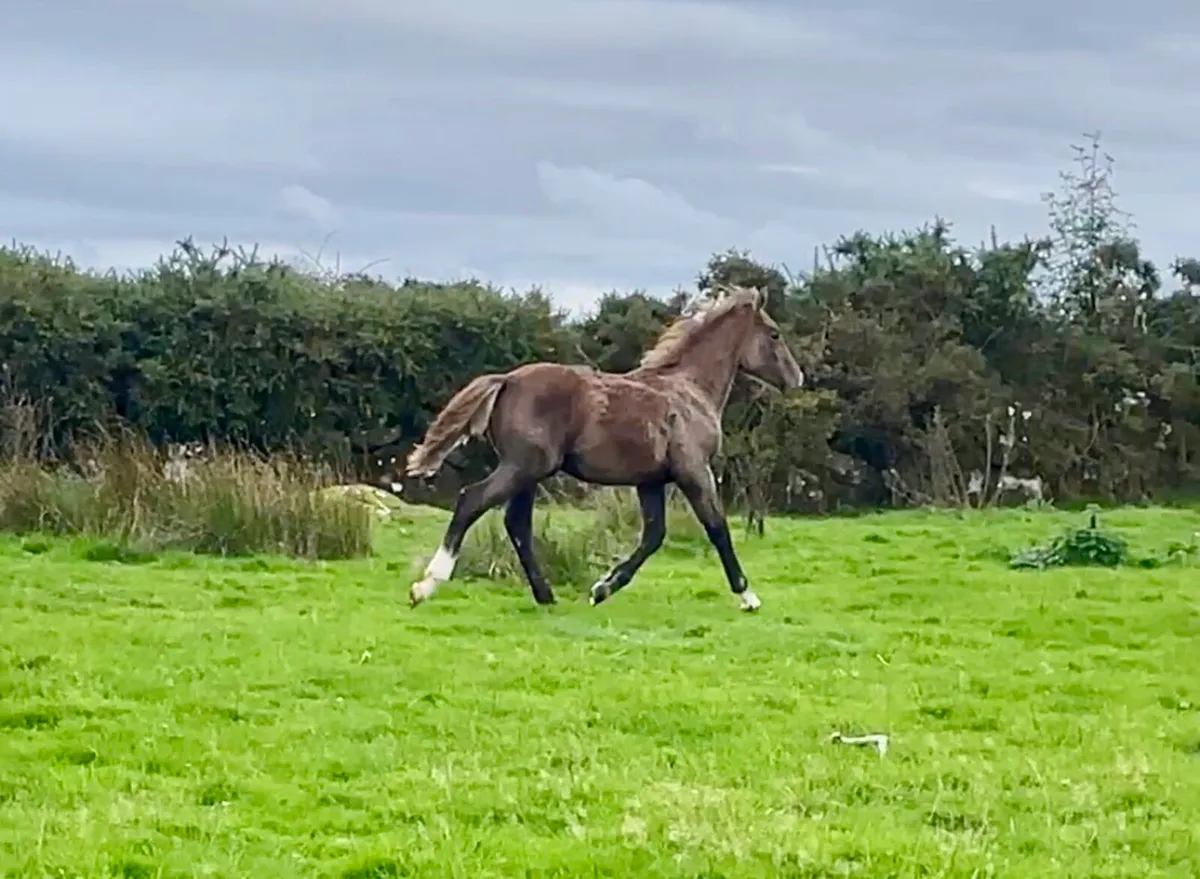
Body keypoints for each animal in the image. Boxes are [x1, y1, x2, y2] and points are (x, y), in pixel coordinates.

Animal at [403, 284, 804, 612]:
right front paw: (748, 596)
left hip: (528, 472)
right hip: (524, 466)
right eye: (774, 334)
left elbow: (654, 535)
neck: (689, 389)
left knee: (516, 523)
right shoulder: (693, 470)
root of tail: (507, 380)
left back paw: (546, 596)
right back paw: (426, 585)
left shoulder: (650, 481)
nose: (797, 378)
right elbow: (717, 527)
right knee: (472, 501)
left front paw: (601, 589)